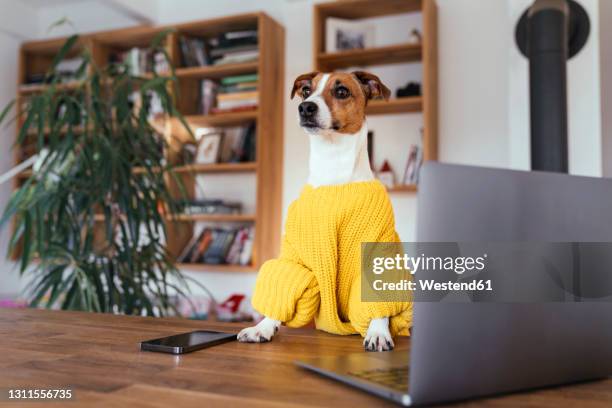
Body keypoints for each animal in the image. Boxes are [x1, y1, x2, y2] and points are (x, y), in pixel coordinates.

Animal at [239, 70, 412, 350]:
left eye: (341, 91)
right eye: (306, 91)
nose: (305, 107)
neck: (334, 169)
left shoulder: (377, 250)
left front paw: (377, 331)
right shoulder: (296, 255)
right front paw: (263, 327)